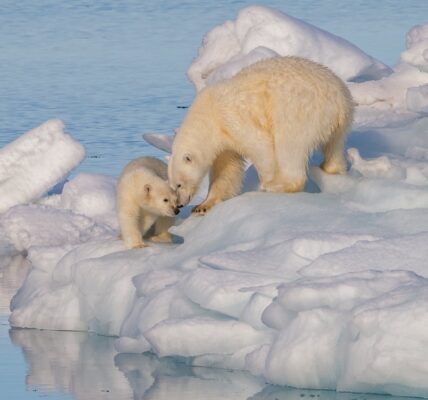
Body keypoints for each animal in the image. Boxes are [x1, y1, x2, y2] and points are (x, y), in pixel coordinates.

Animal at [169, 57, 352, 212]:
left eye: (178, 185)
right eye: (171, 185)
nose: (179, 205)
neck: (209, 116)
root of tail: (339, 100)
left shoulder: (232, 119)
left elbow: (260, 147)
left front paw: (267, 181)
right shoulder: (223, 142)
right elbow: (226, 170)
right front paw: (203, 205)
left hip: (298, 111)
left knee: (290, 147)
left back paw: (276, 185)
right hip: (337, 123)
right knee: (334, 147)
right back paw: (331, 169)